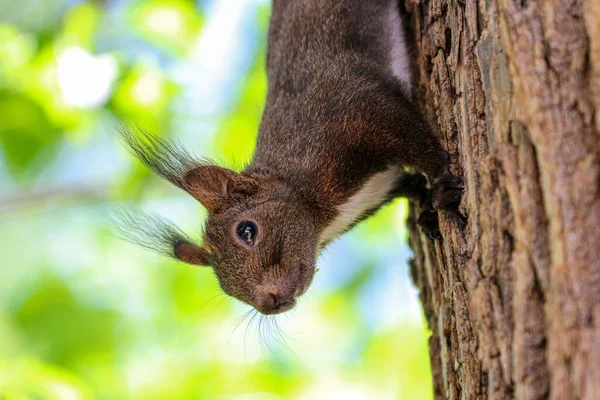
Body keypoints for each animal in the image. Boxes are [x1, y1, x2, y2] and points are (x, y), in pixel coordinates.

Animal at [117, 0, 464, 316]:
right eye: (220, 280)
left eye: (247, 231)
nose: (268, 303)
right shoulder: (380, 187)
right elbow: (411, 185)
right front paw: (427, 213)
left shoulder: (355, 111)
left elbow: (417, 142)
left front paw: (443, 186)